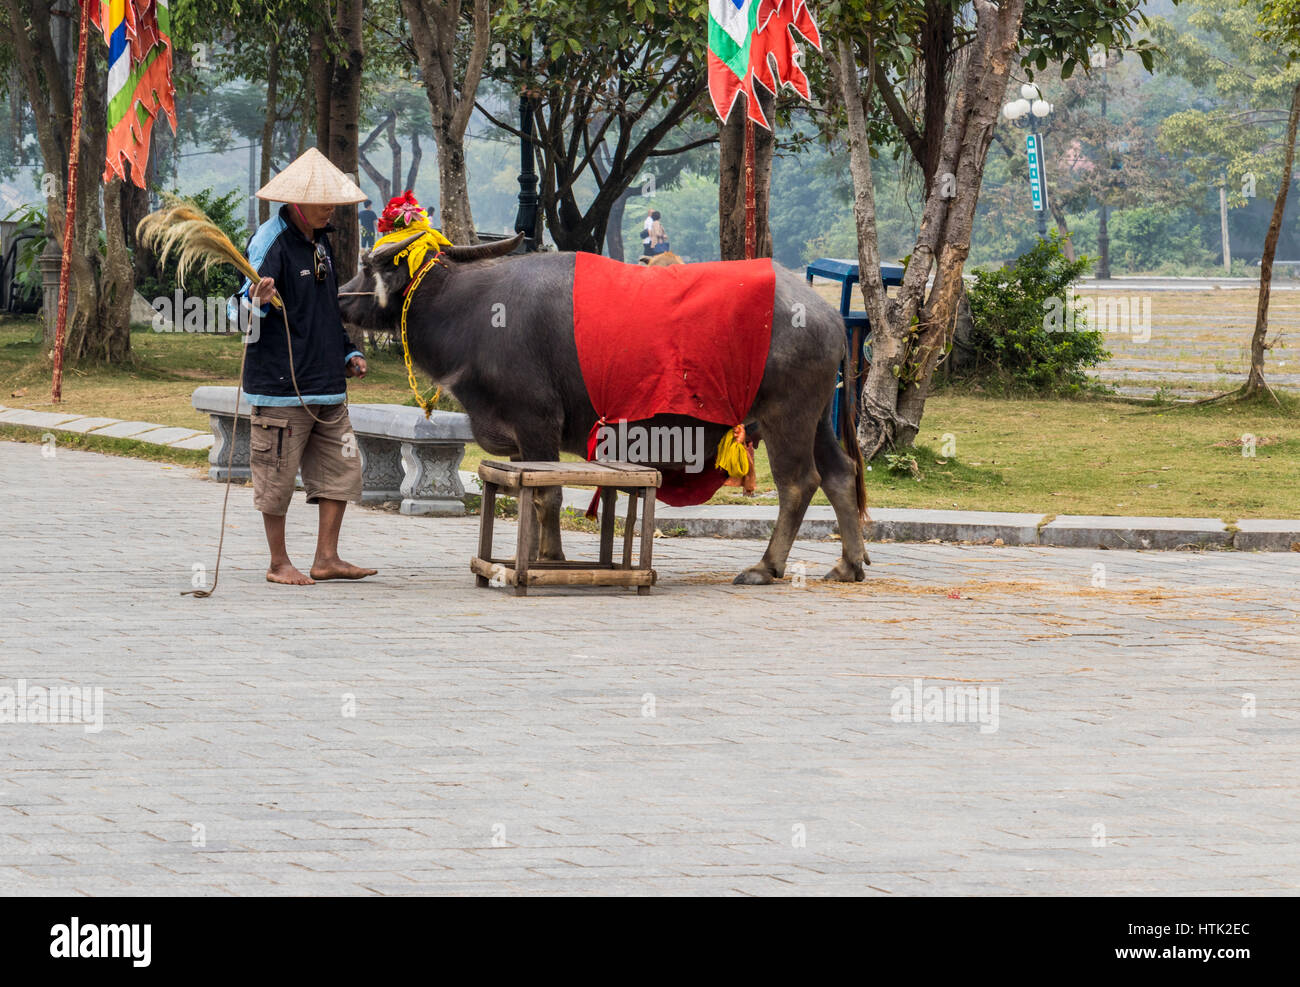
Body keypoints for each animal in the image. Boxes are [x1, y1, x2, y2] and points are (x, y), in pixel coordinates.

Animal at [335, 231, 868, 587]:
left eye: (370, 264)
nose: (340, 297)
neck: (471, 310)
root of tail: (830, 316)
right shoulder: (521, 439)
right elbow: (534, 494)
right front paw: (544, 555)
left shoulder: (536, 423)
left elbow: (547, 497)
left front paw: (546, 560)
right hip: (817, 417)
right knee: (839, 474)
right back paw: (848, 563)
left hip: (787, 416)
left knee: (799, 483)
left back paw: (765, 567)